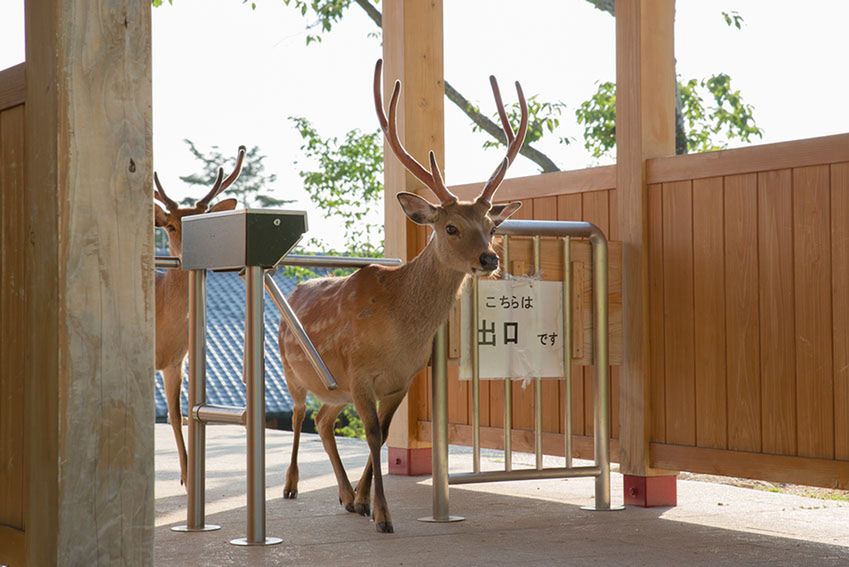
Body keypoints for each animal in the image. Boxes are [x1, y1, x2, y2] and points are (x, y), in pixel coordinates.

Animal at [278, 60, 528, 536]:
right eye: (450, 227)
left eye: (492, 225)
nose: (489, 258)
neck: (399, 328)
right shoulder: (359, 373)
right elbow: (374, 436)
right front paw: (383, 515)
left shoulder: (402, 379)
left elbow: (383, 433)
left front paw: (362, 501)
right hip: (292, 372)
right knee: (302, 415)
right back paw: (290, 485)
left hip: (334, 389)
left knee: (323, 420)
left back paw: (343, 495)